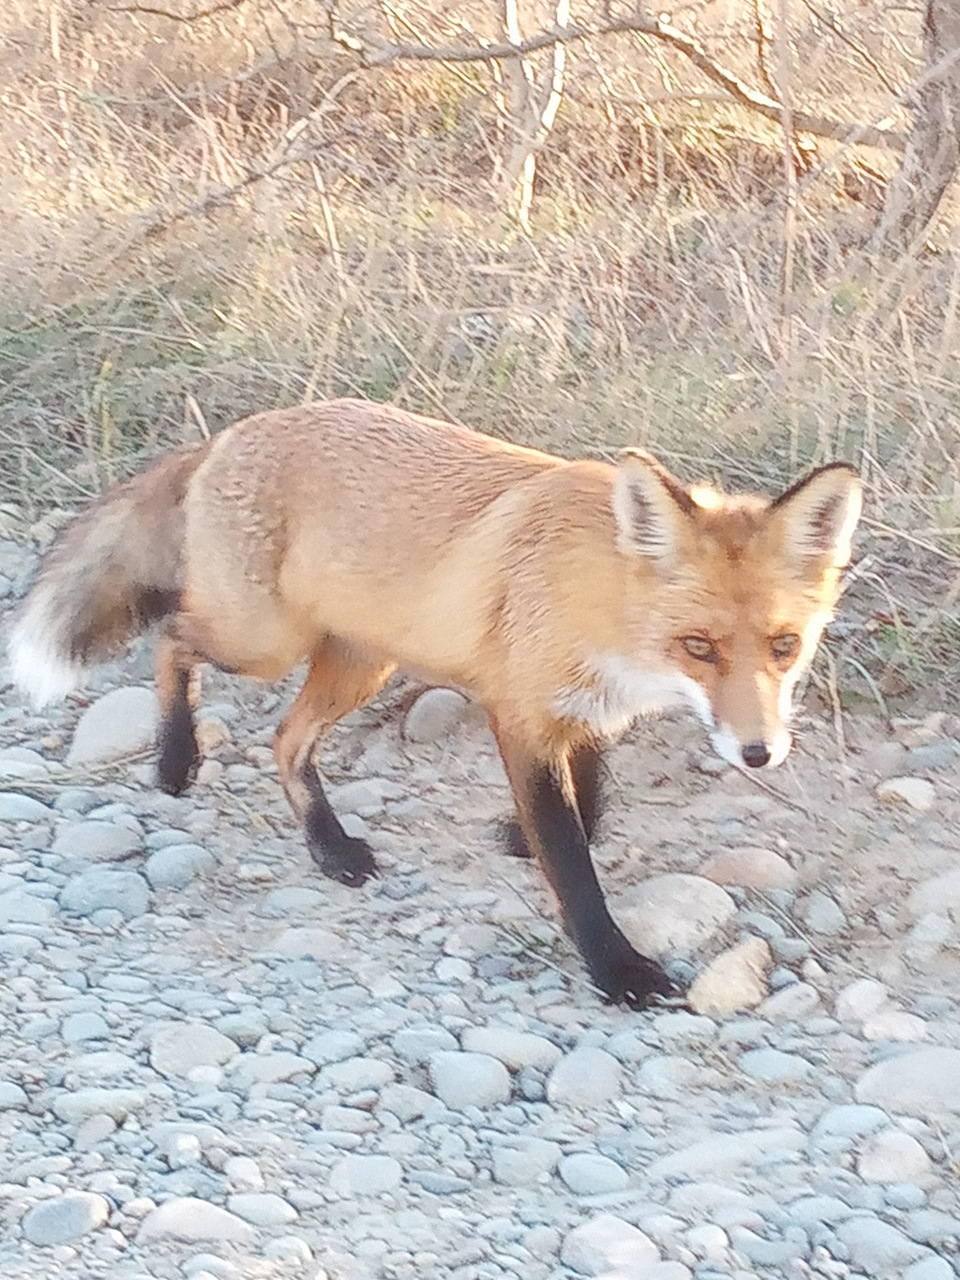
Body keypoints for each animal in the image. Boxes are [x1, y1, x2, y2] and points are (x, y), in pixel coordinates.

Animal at [5, 394, 865, 1003]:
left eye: (784, 646)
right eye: (700, 647)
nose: (759, 752)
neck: (603, 609)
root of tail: (231, 432)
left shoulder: (583, 713)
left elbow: (587, 803)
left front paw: (524, 837)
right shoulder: (519, 715)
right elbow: (573, 863)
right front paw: (616, 969)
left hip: (361, 666)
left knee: (285, 742)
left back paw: (330, 848)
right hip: (262, 640)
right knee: (171, 638)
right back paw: (177, 757)